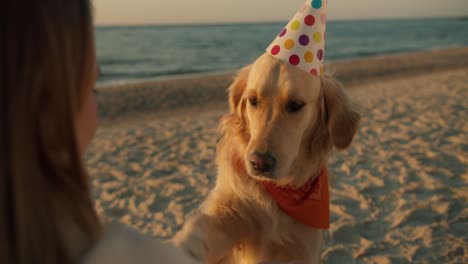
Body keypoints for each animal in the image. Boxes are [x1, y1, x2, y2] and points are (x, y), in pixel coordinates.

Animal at [174, 52, 360, 264]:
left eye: (295, 105)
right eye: (253, 100)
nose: (259, 163)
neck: (279, 192)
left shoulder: (304, 245)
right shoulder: (230, 212)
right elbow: (201, 231)